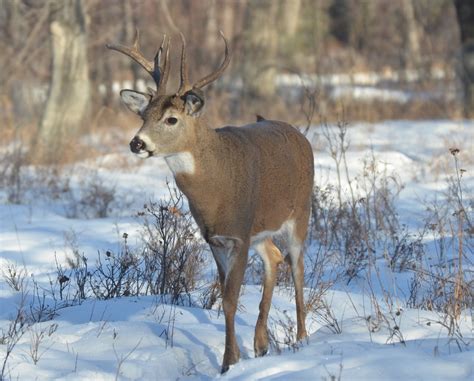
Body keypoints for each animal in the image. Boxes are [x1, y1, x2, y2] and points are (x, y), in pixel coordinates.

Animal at [108, 31, 314, 372]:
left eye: (172, 119)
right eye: (143, 115)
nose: (137, 143)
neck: (215, 190)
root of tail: (299, 134)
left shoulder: (239, 235)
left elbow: (230, 299)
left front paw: (228, 363)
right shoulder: (215, 239)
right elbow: (224, 296)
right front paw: (235, 357)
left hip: (301, 213)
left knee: (296, 266)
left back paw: (302, 339)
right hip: (262, 230)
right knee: (273, 258)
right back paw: (261, 344)